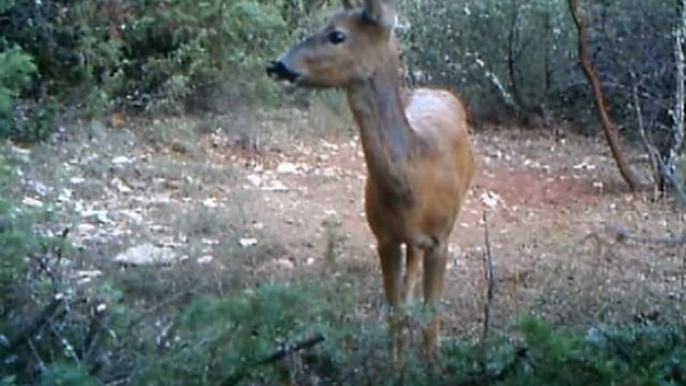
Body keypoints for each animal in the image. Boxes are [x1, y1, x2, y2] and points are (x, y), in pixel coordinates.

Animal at [266, 0, 476, 358]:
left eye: (337, 35)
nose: (276, 64)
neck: (415, 182)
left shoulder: (441, 238)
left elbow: (433, 320)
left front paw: (433, 362)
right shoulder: (384, 237)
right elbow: (394, 315)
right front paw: (396, 364)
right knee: (410, 272)